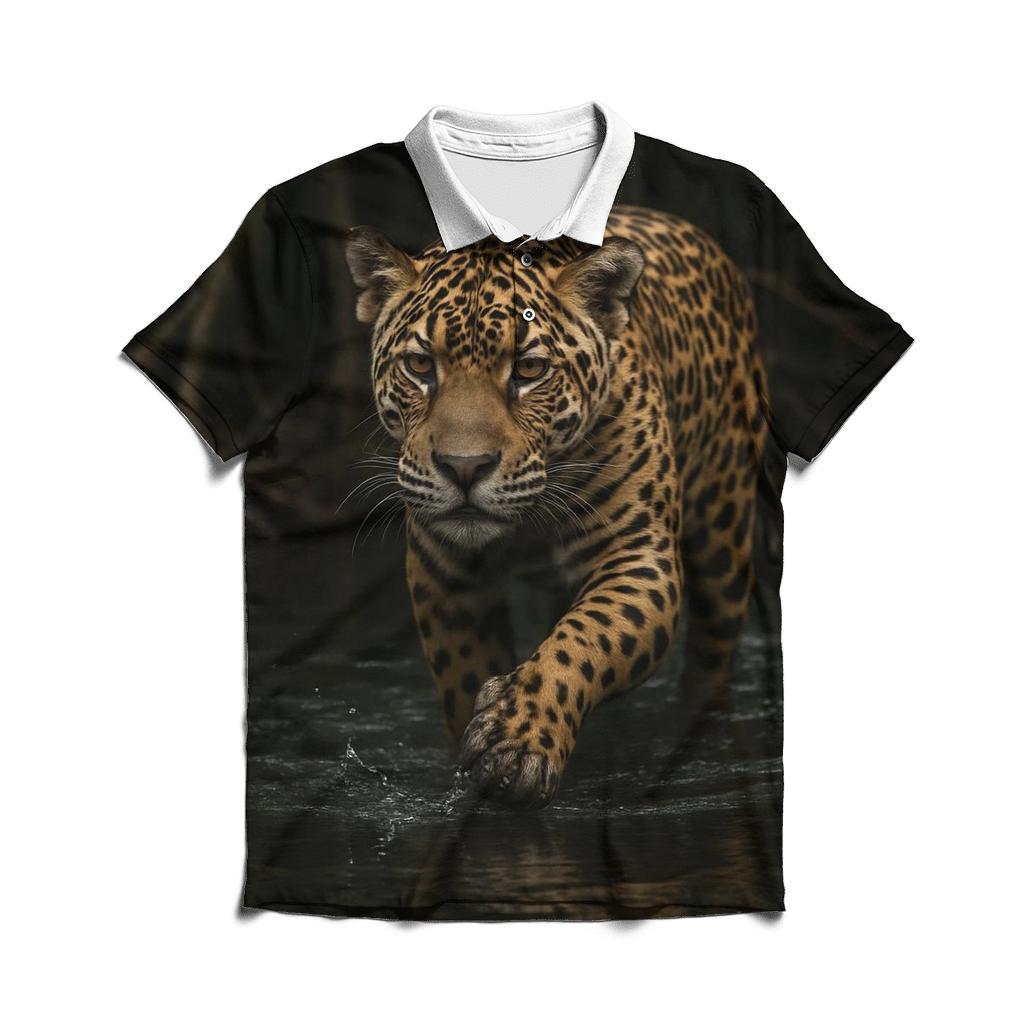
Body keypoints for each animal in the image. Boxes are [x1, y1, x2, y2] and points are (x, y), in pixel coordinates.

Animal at [344, 204, 768, 809]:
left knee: (711, 654)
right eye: (421, 366)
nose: (464, 467)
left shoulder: (638, 554)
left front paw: (519, 742)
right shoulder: (444, 574)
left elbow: (584, 639)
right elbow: (464, 674)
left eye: (528, 370)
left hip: (724, 535)